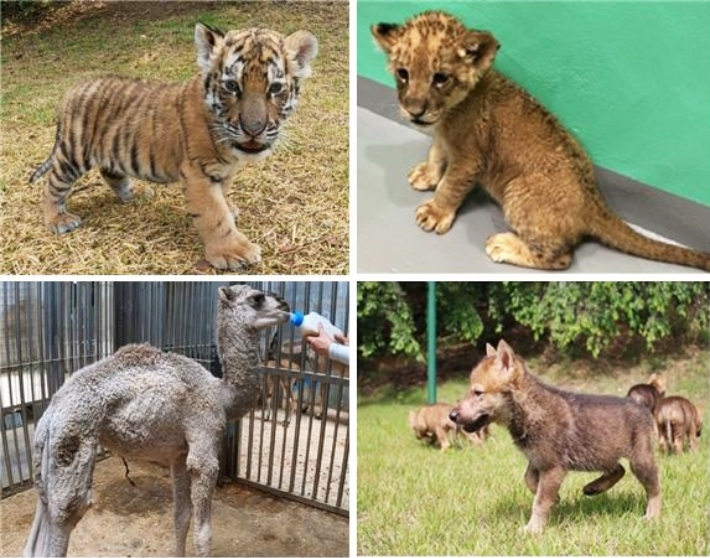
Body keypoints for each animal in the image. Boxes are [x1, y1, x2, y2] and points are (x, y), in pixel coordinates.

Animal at [450, 340, 660, 536]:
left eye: (478, 392)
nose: (451, 415)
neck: (530, 411)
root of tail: (639, 404)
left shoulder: (552, 468)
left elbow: (540, 502)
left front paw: (533, 529)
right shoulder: (537, 460)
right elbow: (529, 480)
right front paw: (556, 499)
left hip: (639, 461)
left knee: (654, 488)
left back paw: (652, 516)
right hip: (601, 455)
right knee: (619, 469)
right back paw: (594, 487)